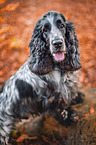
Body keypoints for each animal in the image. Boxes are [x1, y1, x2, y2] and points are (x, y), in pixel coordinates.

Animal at [0, 10, 83, 144]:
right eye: (45, 30)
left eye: (62, 26)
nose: (57, 43)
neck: (57, 66)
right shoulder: (50, 97)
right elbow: (57, 108)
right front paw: (68, 116)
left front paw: (77, 97)